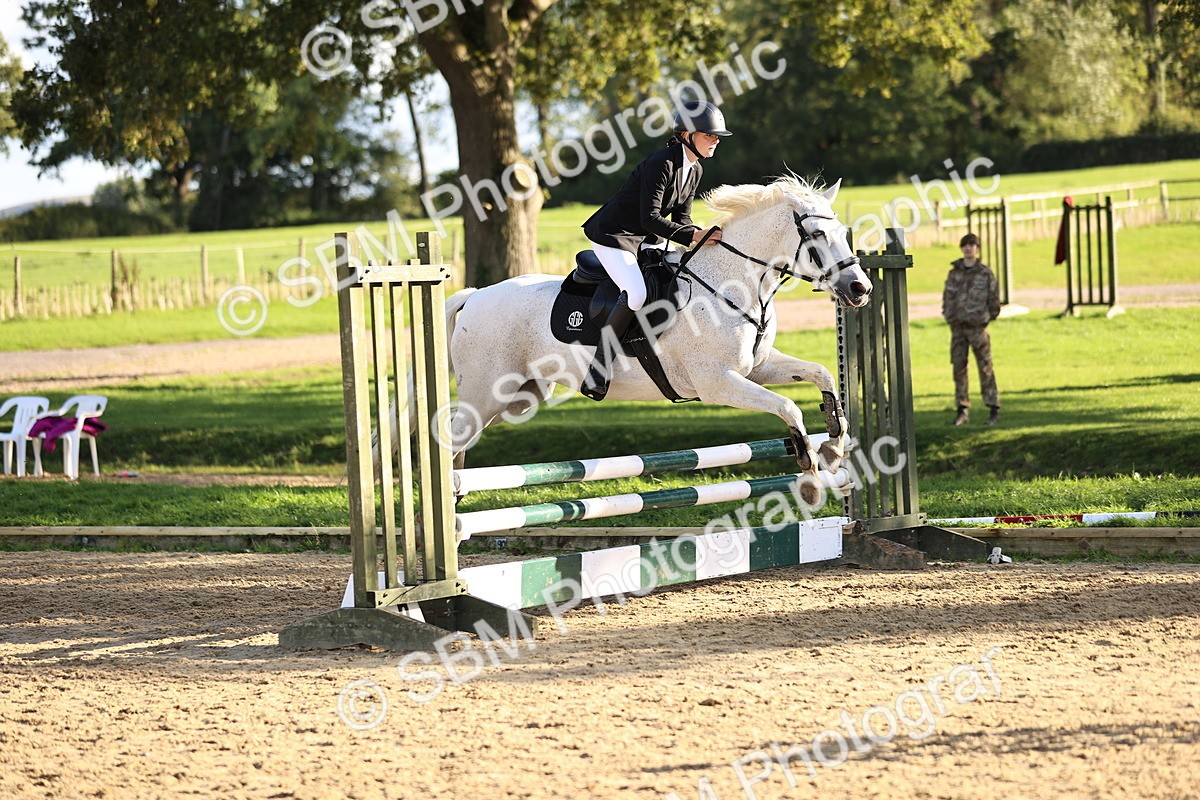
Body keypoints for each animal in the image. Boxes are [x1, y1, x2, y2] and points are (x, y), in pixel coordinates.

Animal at [390, 175, 872, 505]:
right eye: (817, 236)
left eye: (843, 233)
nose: (860, 289)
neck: (733, 282)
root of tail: (473, 296)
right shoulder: (718, 383)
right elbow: (789, 407)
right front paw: (810, 473)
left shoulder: (757, 367)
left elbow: (821, 374)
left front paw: (834, 440)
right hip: (486, 391)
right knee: (448, 437)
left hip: (516, 398)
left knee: (457, 441)